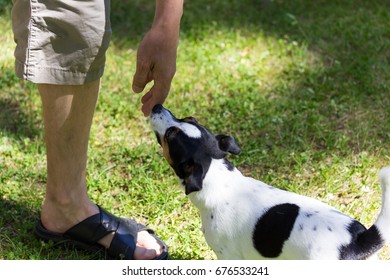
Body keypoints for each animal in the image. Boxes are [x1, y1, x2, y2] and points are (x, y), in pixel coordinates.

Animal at [150, 105, 390, 260]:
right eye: (189, 118)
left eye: (171, 135)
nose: (156, 105)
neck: (220, 178)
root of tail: (358, 240)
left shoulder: (229, 256)